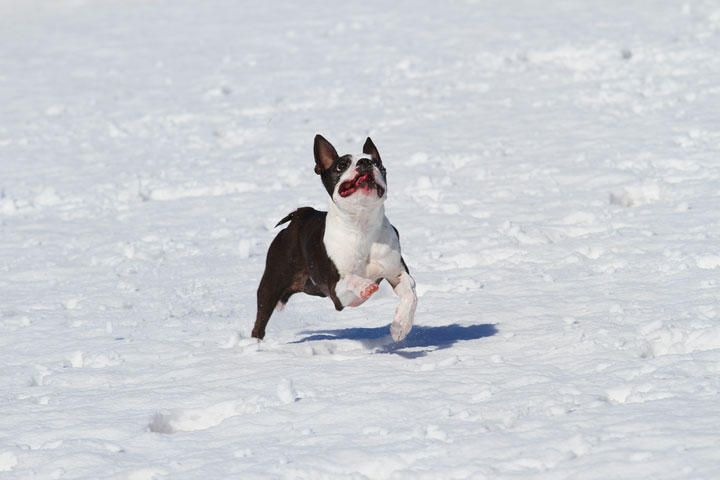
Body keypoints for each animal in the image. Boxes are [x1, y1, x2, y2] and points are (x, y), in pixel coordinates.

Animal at [253, 135, 420, 342]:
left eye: (378, 163)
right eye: (341, 166)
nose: (365, 162)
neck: (361, 227)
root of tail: (301, 214)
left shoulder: (396, 274)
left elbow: (411, 294)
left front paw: (401, 326)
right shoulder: (337, 294)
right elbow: (350, 278)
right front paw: (365, 285)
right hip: (272, 282)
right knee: (260, 321)